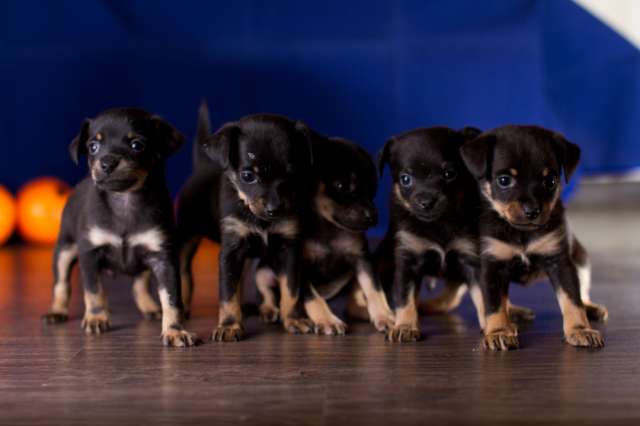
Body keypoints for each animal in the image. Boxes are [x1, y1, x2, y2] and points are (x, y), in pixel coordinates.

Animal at [42, 107, 198, 346]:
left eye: (137, 145)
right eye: (93, 147)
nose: (107, 162)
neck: (124, 199)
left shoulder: (163, 259)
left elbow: (171, 299)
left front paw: (174, 331)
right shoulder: (90, 254)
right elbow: (94, 291)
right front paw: (96, 318)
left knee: (139, 284)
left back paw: (150, 308)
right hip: (64, 250)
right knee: (61, 283)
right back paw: (57, 311)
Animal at [175, 101, 316, 342]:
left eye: (292, 176)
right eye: (248, 176)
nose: (273, 209)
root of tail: (201, 166)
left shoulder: (289, 250)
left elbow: (291, 289)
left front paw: (294, 319)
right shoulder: (230, 253)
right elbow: (227, 292)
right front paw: (230, 325)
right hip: (186, 236)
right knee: (185, 271)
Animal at [255, 135, 396, 334]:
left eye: (373, 189)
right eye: (342, 186)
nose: (372, 217)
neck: (328, 229)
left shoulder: (362, 259)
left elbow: (374, 288)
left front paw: (384, 316)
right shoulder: (298, 266)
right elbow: (312, 296)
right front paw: (327, 320)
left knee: (353, 301)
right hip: (263, 272)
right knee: (268, 293)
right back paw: (269, 310)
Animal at [462, 125, 608, 352]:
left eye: (551, 181)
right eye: (504, 180)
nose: (532, 210)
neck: (521, 232)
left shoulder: (560, 263)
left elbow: (572, 299)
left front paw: (579, 330)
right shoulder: (492, 267)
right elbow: (493, 304)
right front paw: (498, 331)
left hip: (581, 261)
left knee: (582, 293)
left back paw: (590, 309)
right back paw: (511, 317)